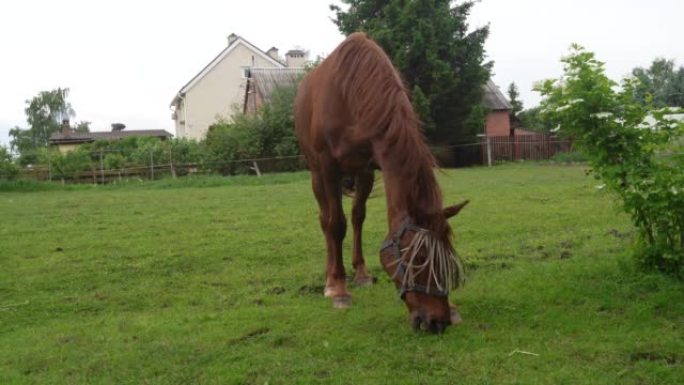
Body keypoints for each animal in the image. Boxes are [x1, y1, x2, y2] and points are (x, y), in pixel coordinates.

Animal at [294, 33, 464, 332]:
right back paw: (330, 280)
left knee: (357, 216)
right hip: (316, 174)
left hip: (362, 175)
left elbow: (355, 218)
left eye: (446, 257)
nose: (437, 321)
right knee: (326, 221)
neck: (350, 92)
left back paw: (360, 273)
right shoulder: (328, 167)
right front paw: (339, 290)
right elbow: (335, 225)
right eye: (419, 258)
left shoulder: (371, 165)